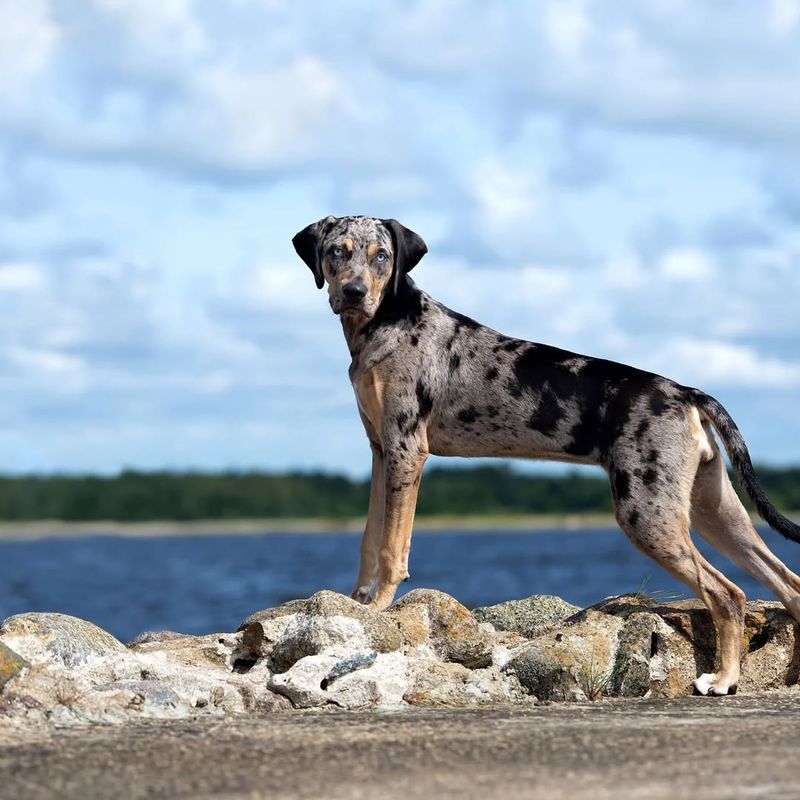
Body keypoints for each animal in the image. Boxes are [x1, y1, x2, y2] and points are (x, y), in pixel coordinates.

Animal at [292, 216, 800, 696]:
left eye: (382, 256)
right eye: (337, 252)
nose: (354, 292)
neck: (387, 322)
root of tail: (689, 393)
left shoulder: (405, 448)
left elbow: (391, 545)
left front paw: (377, 610)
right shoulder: (381, 451)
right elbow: (368, 536)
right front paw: (358, 601)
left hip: (648, 513)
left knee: (728, 594)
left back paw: (723, 679)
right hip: (712, 507)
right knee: (785, 581)